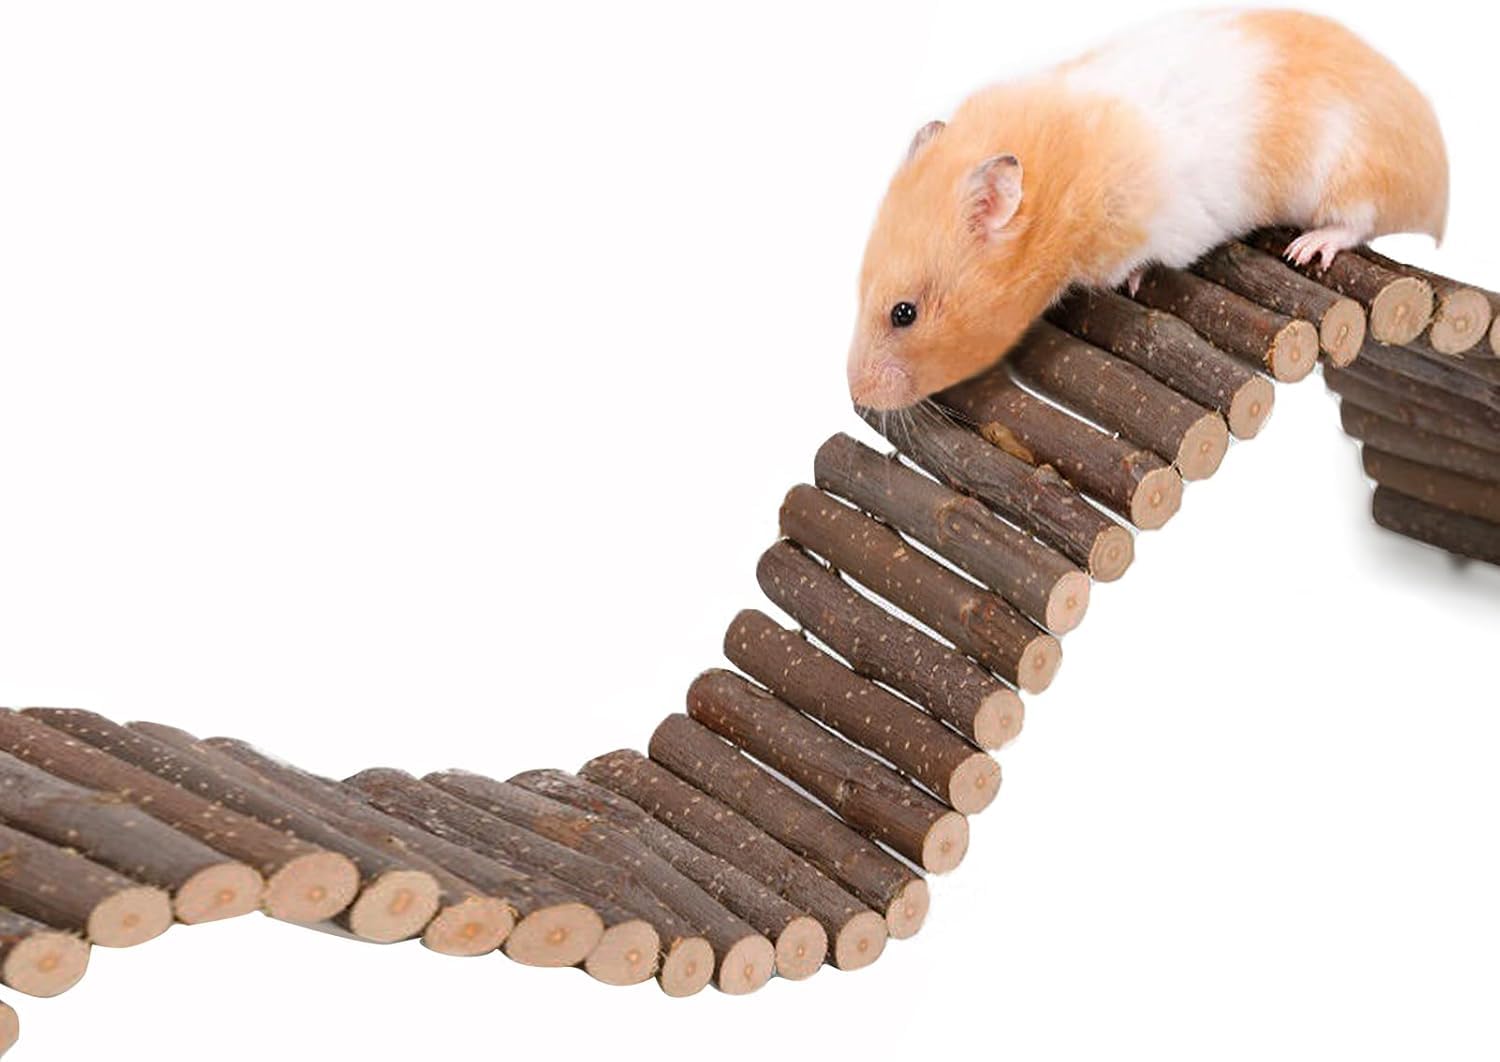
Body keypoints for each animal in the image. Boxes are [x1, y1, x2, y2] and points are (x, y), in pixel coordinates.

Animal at [847, 9, 1449, 410]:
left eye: (904, 313)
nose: (854, 392)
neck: (1056, 193)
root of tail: (1438, 181)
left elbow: (1138, 264)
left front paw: (1133, 283)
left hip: (1349, 172)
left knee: (1355, 223)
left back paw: (1308, 248)